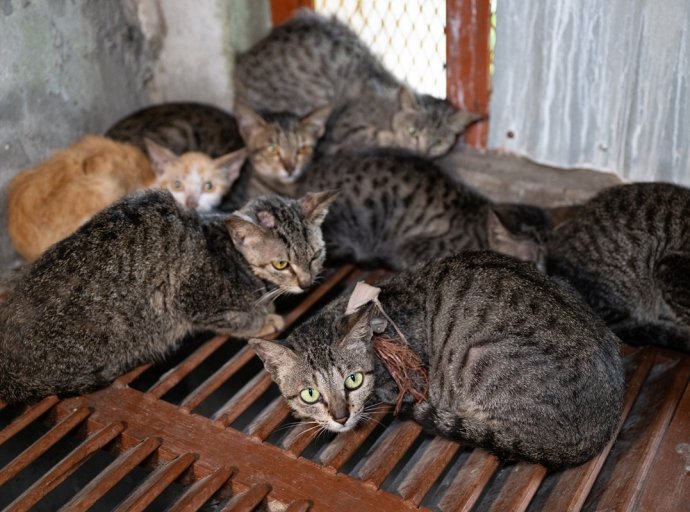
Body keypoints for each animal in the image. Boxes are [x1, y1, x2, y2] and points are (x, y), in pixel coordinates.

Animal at [0, 188, 334, 404]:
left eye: (315, 256)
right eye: (281, 264)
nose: (306, 284)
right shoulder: (192, 301)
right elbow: (236, 320)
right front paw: (265, 320)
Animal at [234, 10, 476, 158]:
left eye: (438, 142)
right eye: (413, 132)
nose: (422, 153)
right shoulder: (346, 127)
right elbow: (377, 137)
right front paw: (393, 139)